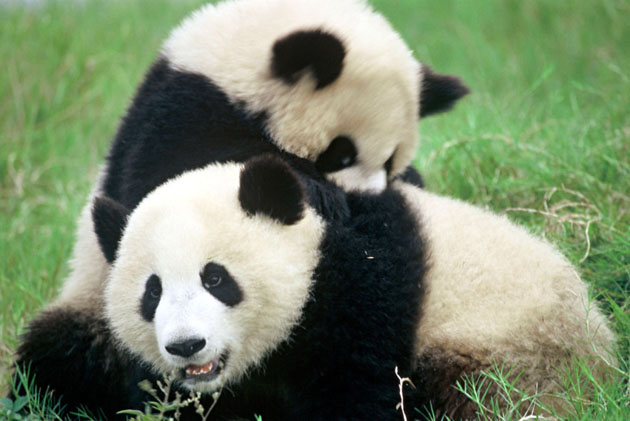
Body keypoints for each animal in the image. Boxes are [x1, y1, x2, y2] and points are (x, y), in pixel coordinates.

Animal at [54, 0, 470, 316]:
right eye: (341, 154)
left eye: (390, 161)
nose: (366, 197)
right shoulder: (177, 116)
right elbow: (165, 184)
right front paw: (321, 195)